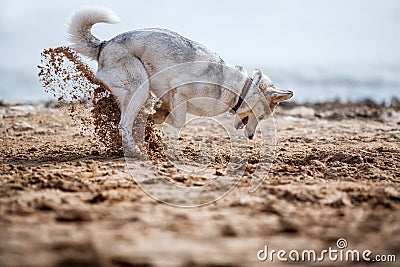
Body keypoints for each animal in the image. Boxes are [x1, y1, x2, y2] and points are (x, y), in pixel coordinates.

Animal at [67, 6, 292, 148]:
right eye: (262, 117)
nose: (252, 137)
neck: (239, 90)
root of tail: (104, 45)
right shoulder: (179, 90)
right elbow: (178, 121)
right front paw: (158, 116)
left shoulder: (169, 96)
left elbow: (167, 114)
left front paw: (157, 114)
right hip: (140, 88)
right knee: (123, 125)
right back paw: (136, 151)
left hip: (141, 92)